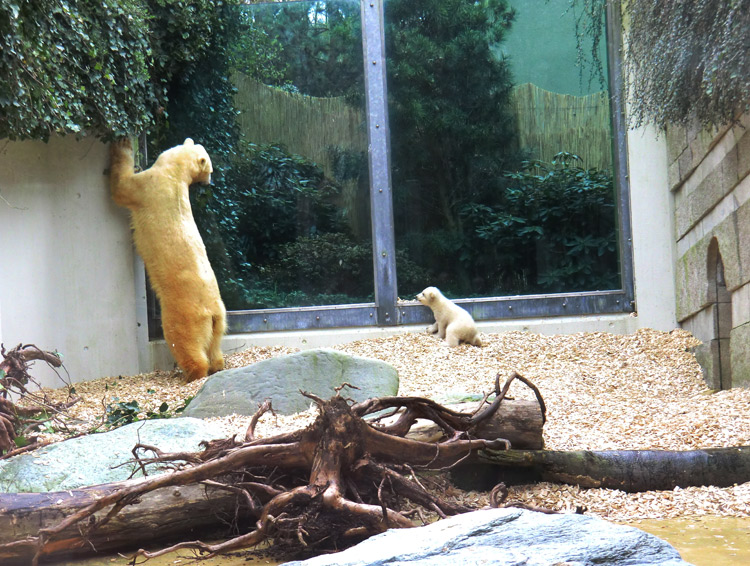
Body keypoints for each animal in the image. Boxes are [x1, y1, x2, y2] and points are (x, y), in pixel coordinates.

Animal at [109, 140, 226, 384]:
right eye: (211, 170)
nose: (209, 182)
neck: (174, 173)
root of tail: (211, 311)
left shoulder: (148, 186)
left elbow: (122, 187)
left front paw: (122, 143)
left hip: (183, 313)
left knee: (184, 341)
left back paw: (192, 373)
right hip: (220, 319)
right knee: (215, 343)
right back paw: (217, 365)